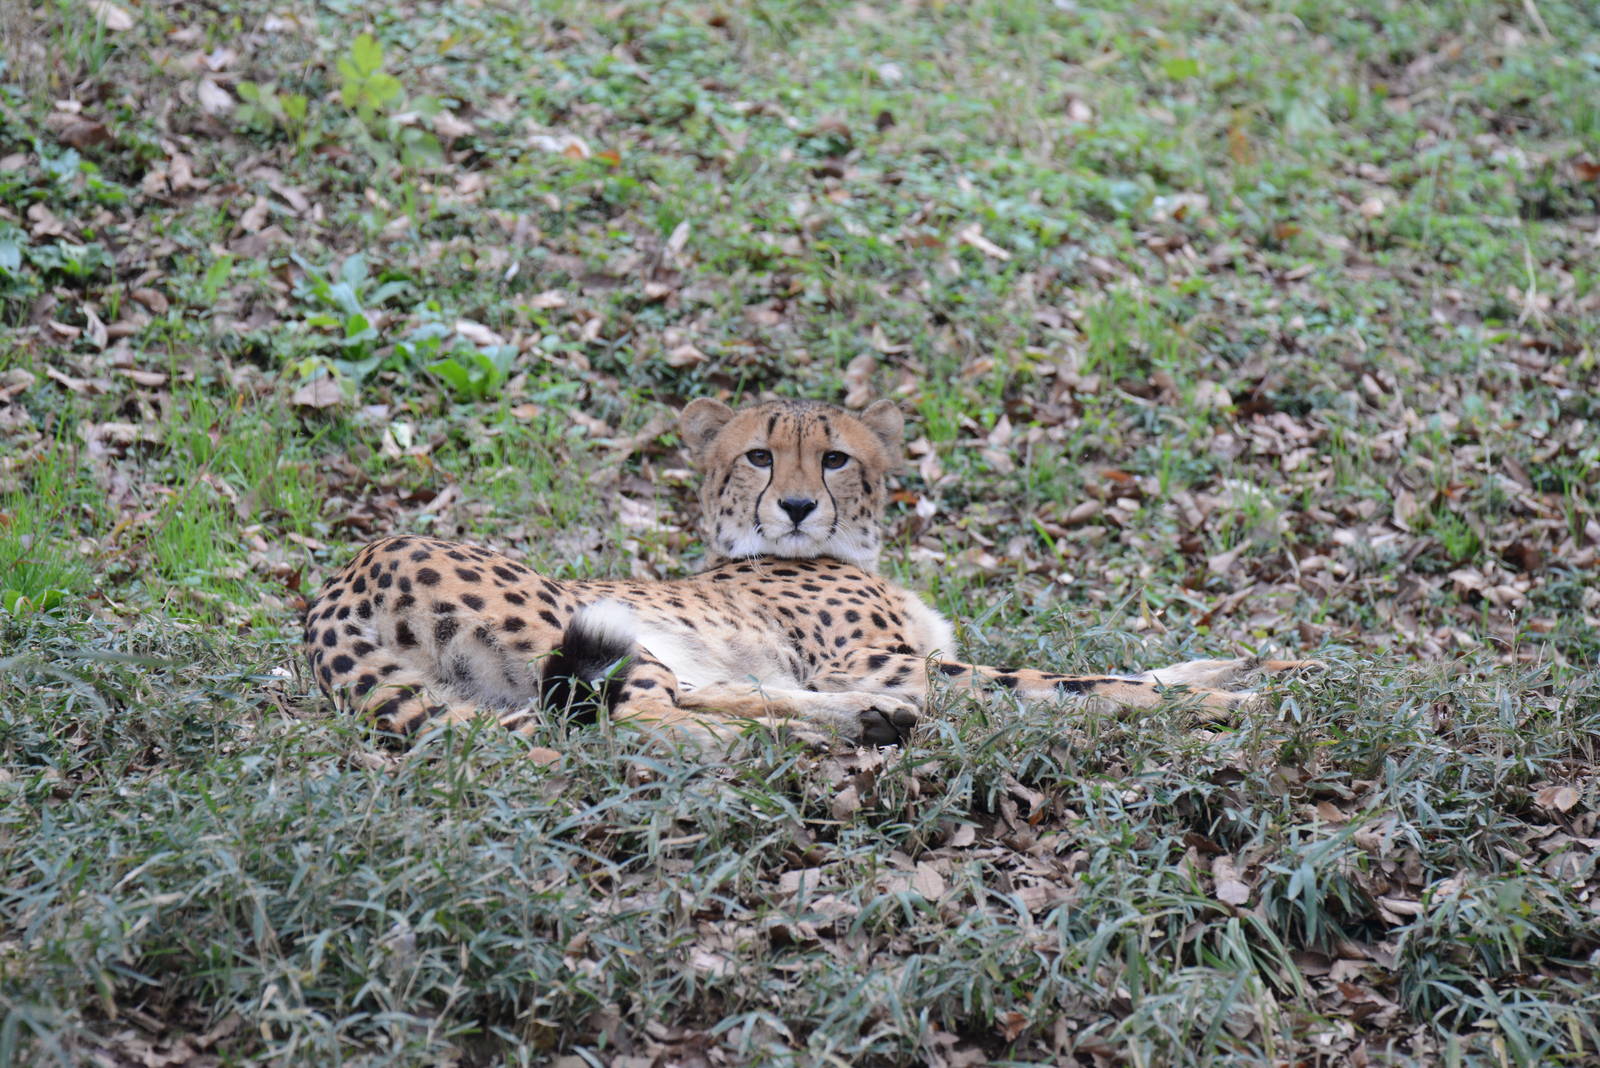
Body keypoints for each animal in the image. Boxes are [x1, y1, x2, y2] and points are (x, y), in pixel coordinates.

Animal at [303, 396, 1320, 748]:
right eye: (759, 456)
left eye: (833, 458)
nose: (795, 505)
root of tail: (342, 579)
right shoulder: (883, 655)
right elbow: (1077, 682)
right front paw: (1231, 702)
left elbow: (1137, 667)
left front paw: (1274, 665)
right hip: (586, 624)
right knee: (639, 721)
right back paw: (778, 746)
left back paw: (856, 725)